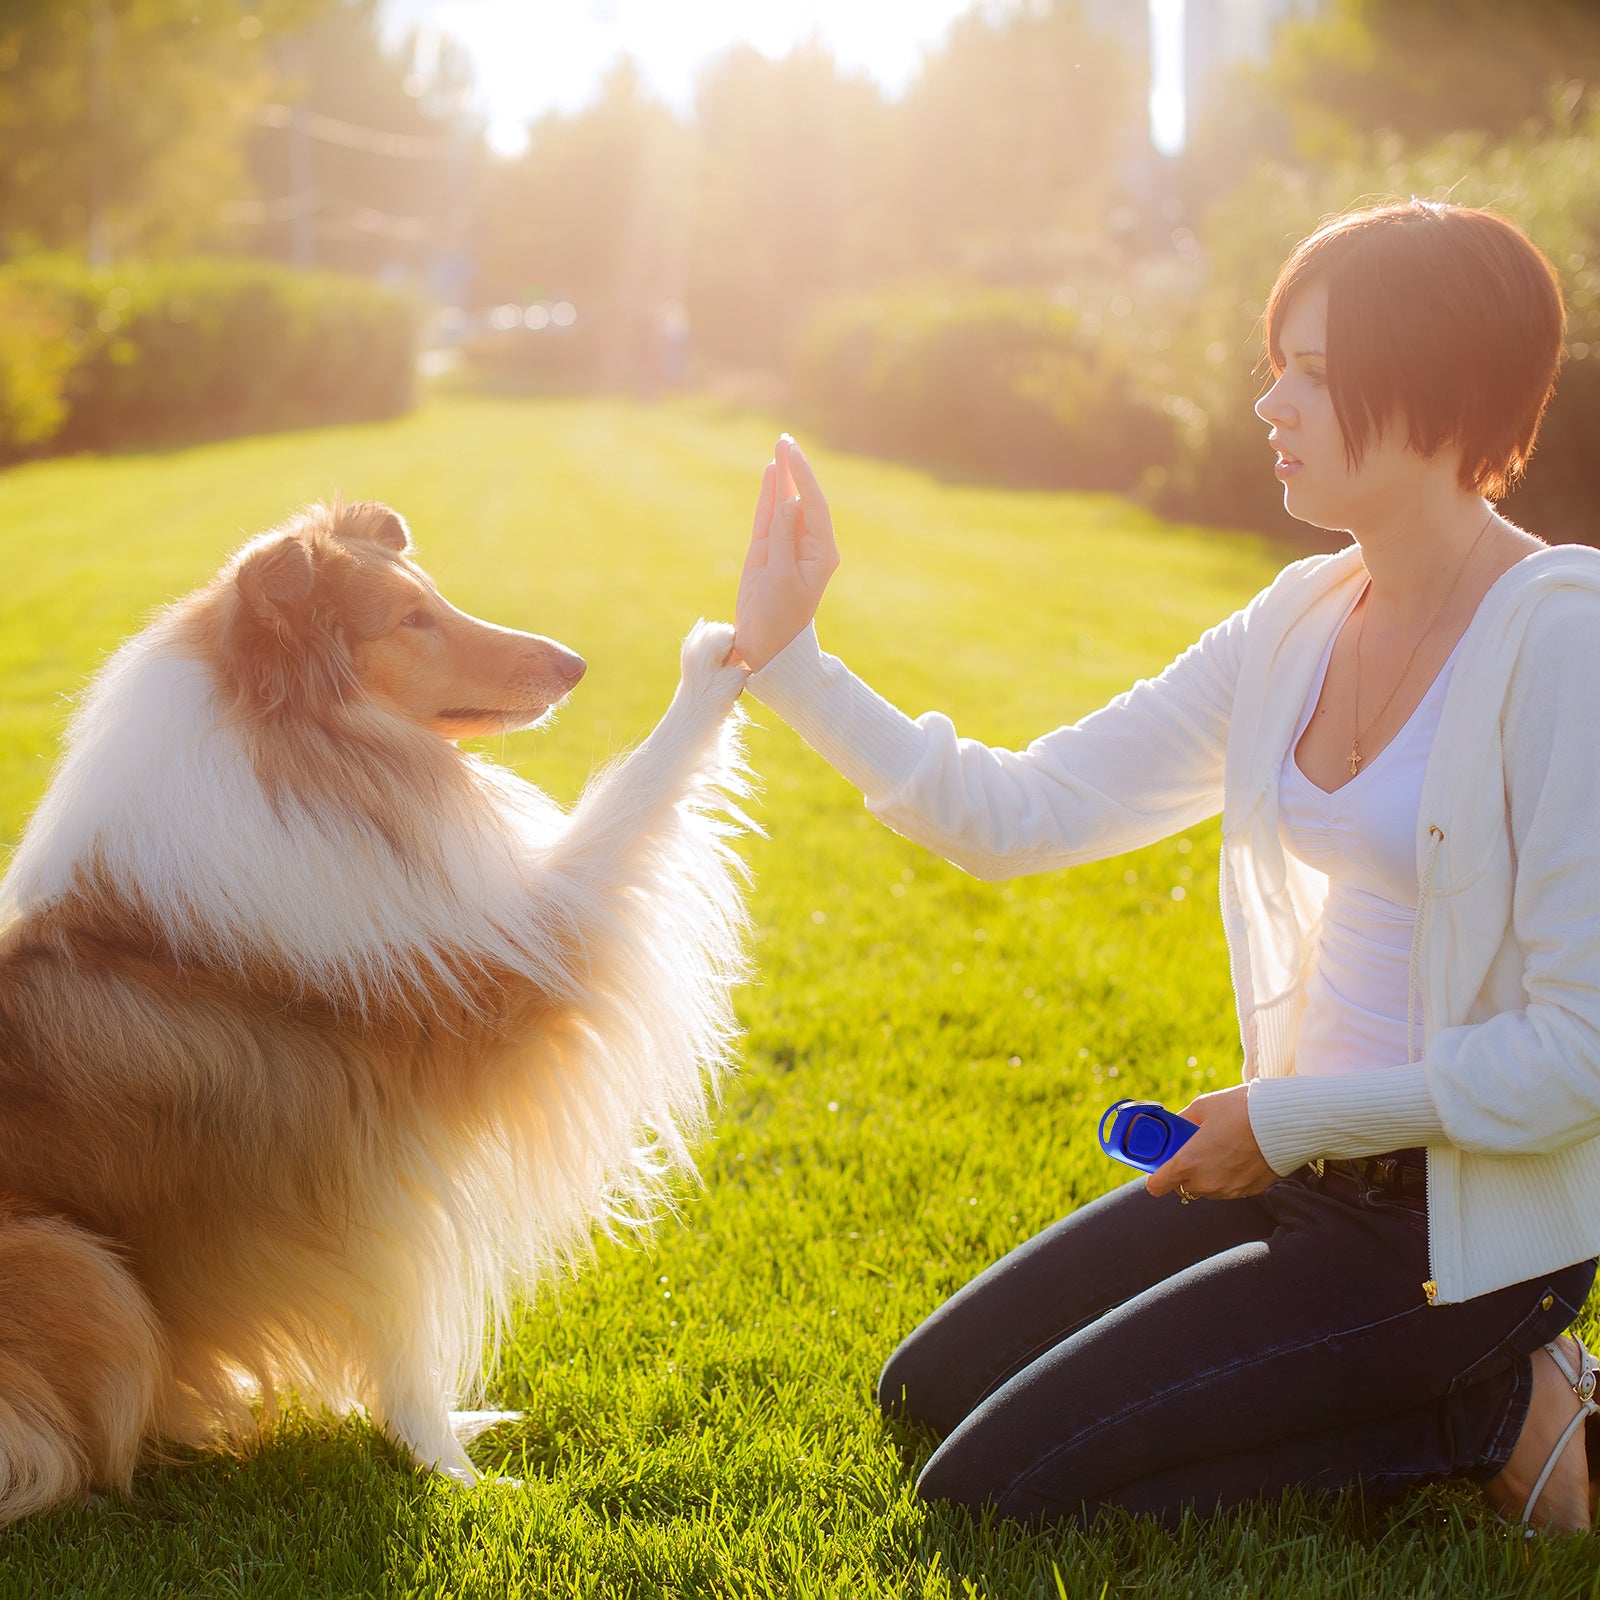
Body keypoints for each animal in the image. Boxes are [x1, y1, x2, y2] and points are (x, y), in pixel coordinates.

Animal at [0, 492, 755, 1516]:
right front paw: (461, 1478)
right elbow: (632, 796)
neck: (306, 758)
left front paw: (453, 1444)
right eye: (408, 620)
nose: (575, 664)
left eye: (432, 596)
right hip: (78, 1269)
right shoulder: (506, 982)